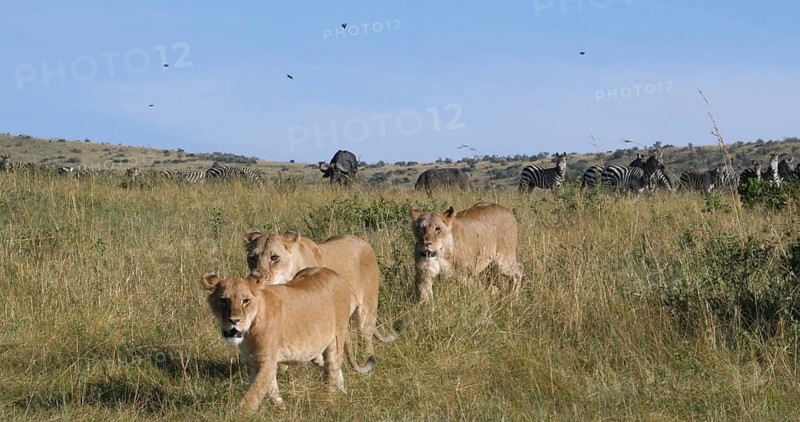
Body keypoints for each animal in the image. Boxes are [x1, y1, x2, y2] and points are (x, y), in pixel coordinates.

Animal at [201, 267, 376, 414]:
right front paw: (282, 408)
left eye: (245, 301)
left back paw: (329, 405)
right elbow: (270, 389)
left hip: (336, 339)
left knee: (332, 371)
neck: (249, 330)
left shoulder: (267, 362)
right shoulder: (255, 362)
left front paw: (235, 416)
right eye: (223, 300)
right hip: (314, 351)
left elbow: (251, 398)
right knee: (335, 368)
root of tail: (337, 275)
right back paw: (343, 392)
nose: (234, 320)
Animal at [244, 230, 398, 358]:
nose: (255, 277)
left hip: (367, 307)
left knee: (366, 336)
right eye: (252, 258)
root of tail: (364, 242)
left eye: (274, 257)